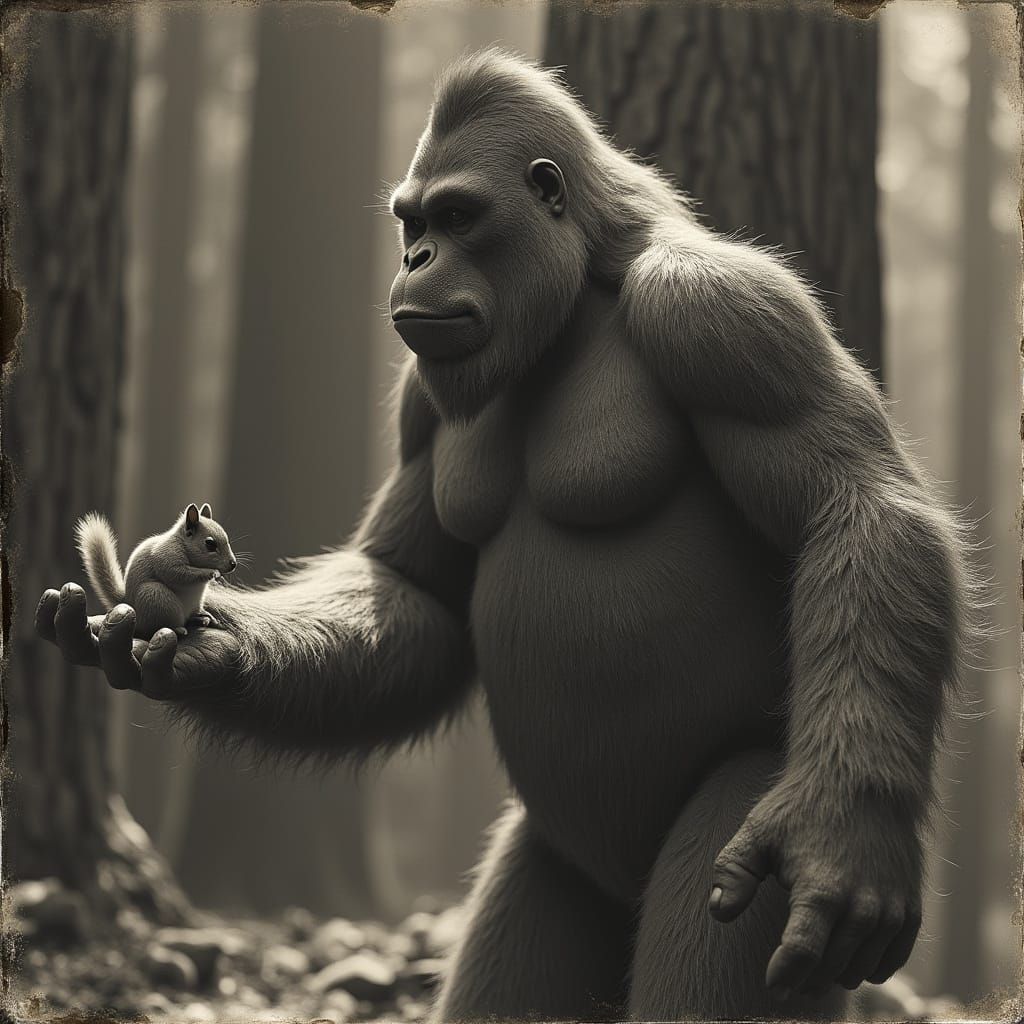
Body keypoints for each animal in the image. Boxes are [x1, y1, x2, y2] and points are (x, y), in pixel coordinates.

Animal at [75, 503, 237, 638]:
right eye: (210, 544)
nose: (233, 564)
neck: (182, 543)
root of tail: (129, 604)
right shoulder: (167, 557)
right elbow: (179, 574)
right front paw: (211, 573)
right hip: (155, 596)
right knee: (156, 627)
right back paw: (179, 628)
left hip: (193, 602)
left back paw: (203, 617)